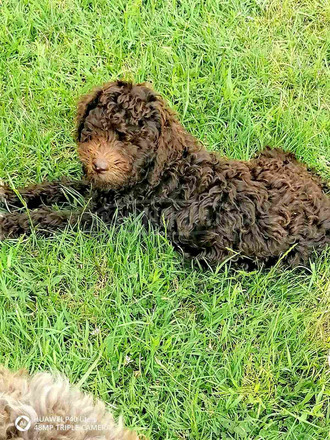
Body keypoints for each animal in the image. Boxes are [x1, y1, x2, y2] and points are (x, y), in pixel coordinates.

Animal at [0, 80, 328, 266]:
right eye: (96, 130)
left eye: (131, 142)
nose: (99, 166)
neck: (158, 173)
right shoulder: (100, 189)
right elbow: (56, 187)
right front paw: (10, 195)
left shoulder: (105, 219)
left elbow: (52, 218)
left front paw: (10, 223)